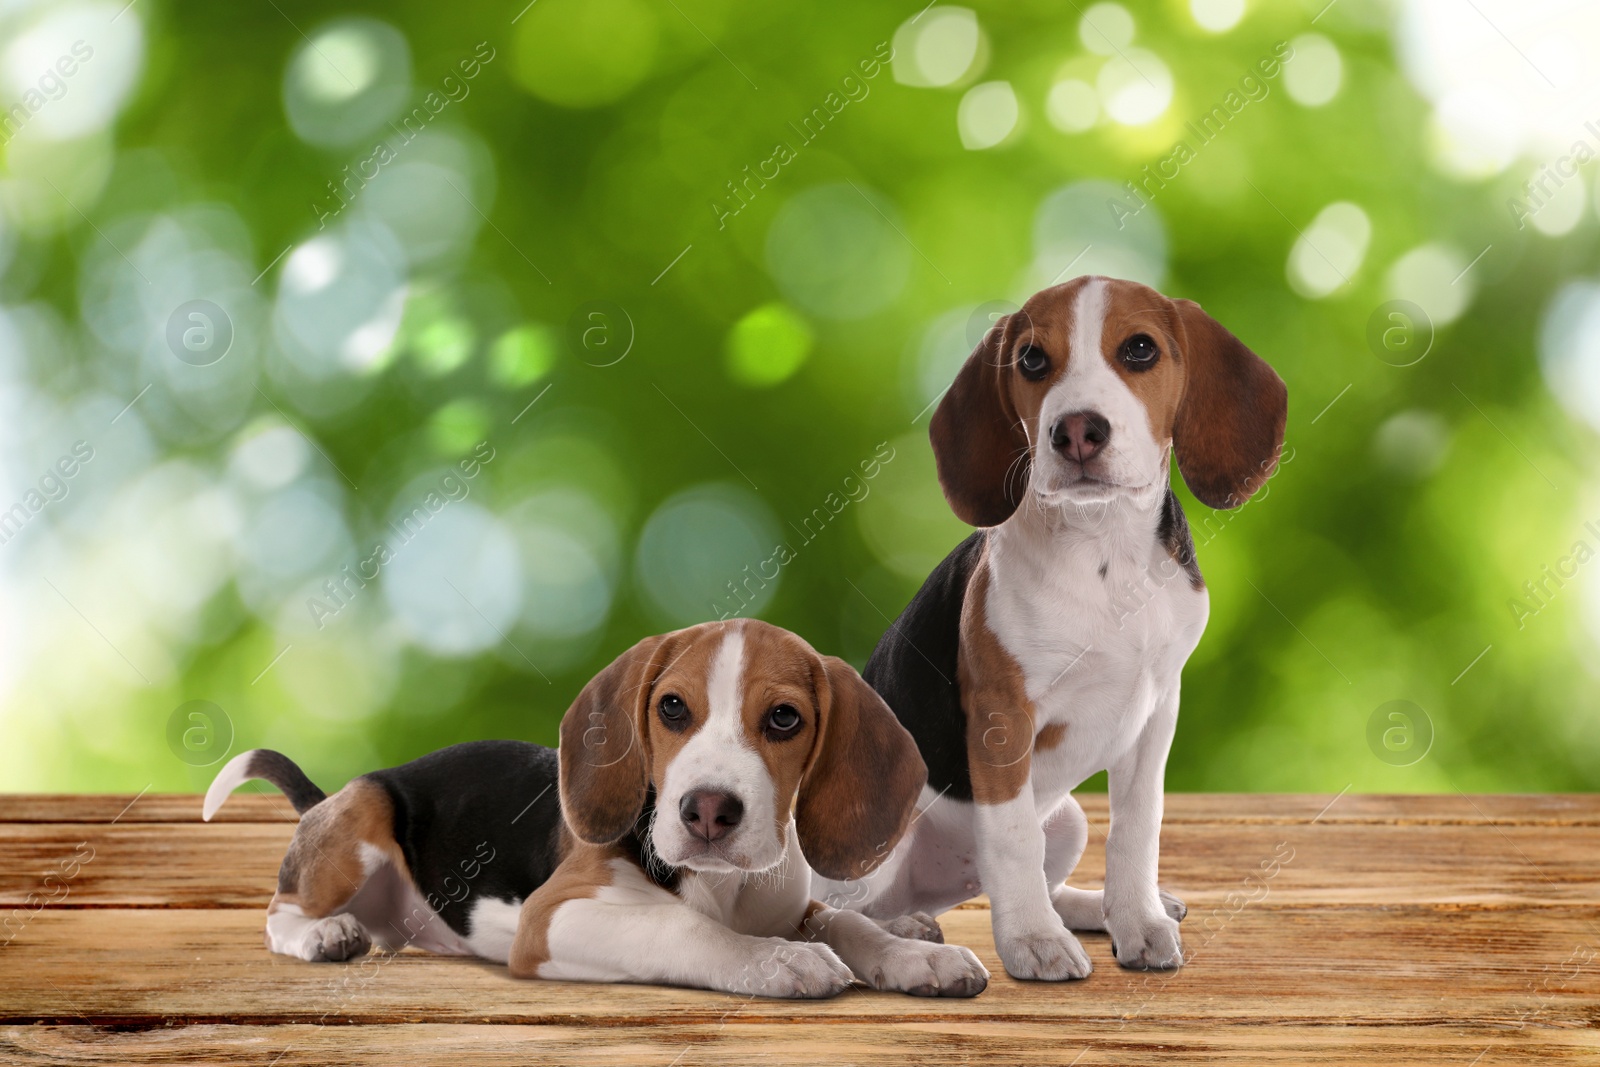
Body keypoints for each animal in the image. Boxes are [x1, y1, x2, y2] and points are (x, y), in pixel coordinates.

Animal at [201, 620, 985, 998]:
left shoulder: (793, 901)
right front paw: (775, 960)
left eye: (785, 718)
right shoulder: (555, 915)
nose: (707, 810)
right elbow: (682, 927)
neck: (728, 886)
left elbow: (849, 920)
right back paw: (325, 932)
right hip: (364, 813)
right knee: (279, 909)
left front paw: (913, 956)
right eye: (672, 708)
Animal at [819, 278, 1292, 985]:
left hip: (1066, 820)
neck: (1102, 546)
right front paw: (1033, 942)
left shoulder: (1157, 712)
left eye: (1141, 349)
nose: (1075, 431)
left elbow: (1136, 829)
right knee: (841, 908)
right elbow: (1012, 838)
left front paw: (1137, 920)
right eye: (1033, 360)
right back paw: (912, 938)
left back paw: (1096, 907)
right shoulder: (1002, 716)